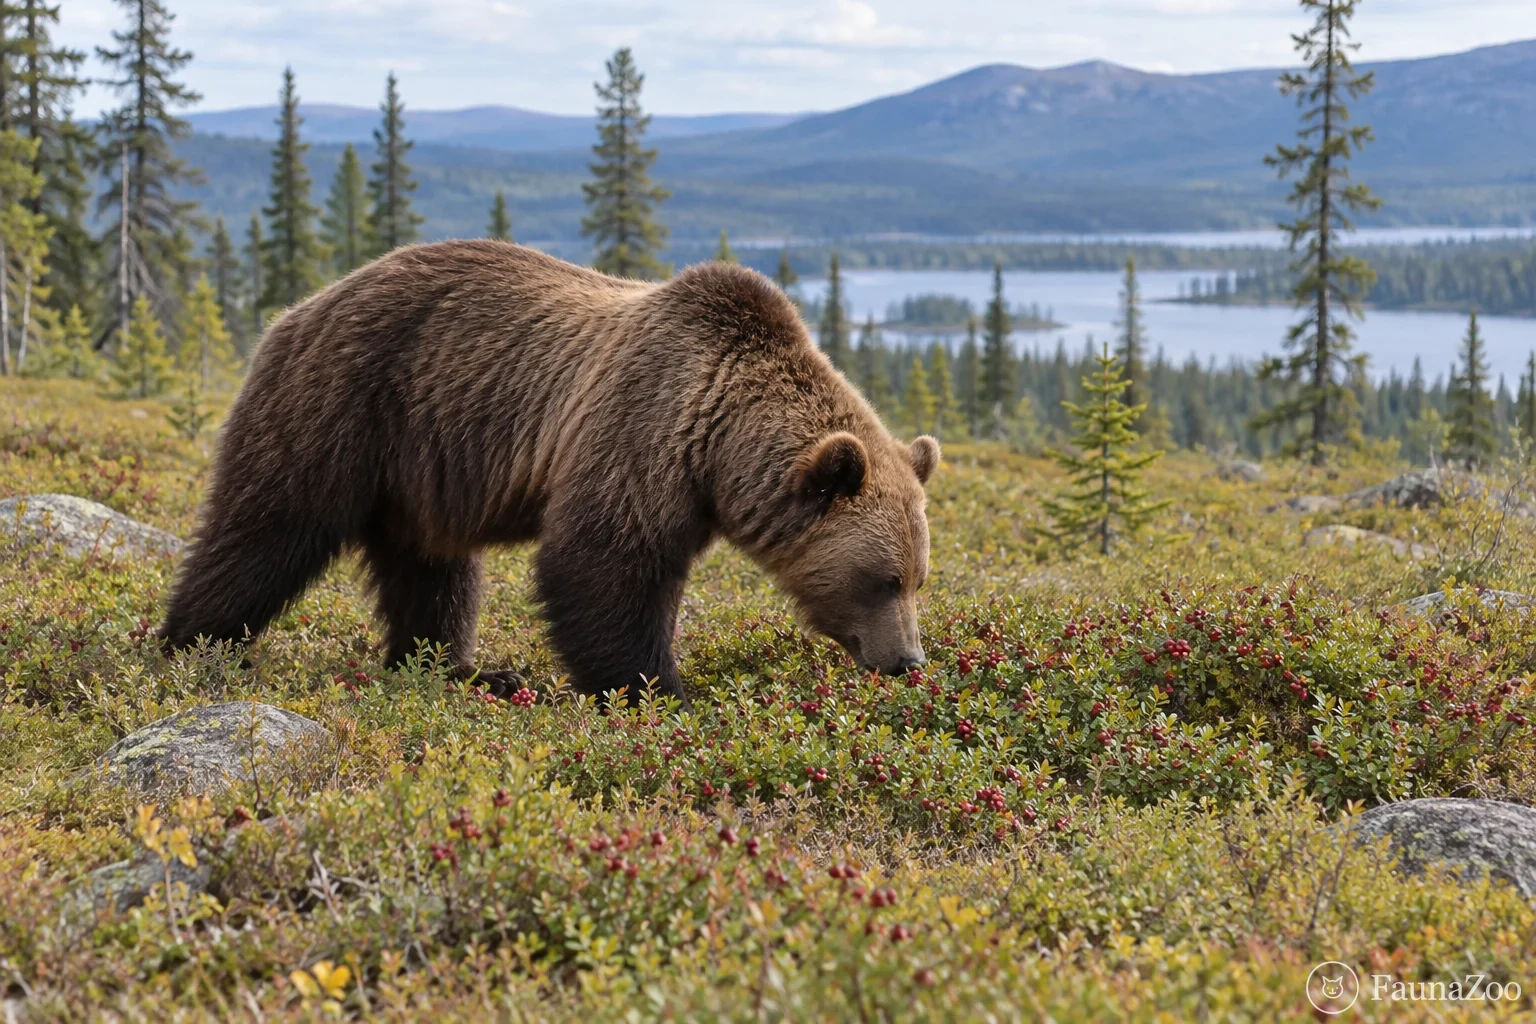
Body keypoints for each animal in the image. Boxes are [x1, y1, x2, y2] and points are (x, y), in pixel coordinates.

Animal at [160, 240, 939, 702]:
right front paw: (660, 689)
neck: (717, 440)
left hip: (420, 468)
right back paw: (197, 645)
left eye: (919, 578)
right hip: (342, 403)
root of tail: (297, 308)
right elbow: (602, 565)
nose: (907, 660)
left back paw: (461, 668)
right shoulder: (640, 430)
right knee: (269, 526)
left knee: (432, 571)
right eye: (883, 579)